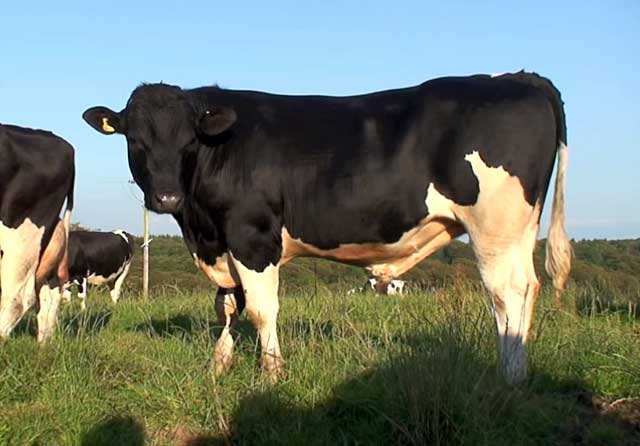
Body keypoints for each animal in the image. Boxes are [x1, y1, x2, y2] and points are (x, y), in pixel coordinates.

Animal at [82, 71, 572, 384]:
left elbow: (260, 309)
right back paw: (519, 370)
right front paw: (218, 366)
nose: (166, 198)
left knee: (506, 294)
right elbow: (227, 306)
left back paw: (508, 376)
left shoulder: (252, 235)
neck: (198, 226)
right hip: (519, 231)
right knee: (528, 287)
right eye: (135, 140)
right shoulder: (222, 241)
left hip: (495, 228)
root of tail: (519, 78)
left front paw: (272, 374)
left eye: (189, 140)